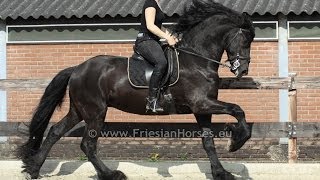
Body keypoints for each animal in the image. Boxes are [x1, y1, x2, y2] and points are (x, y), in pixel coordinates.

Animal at [18, 0, 255, 179]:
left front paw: (221, 172)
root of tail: (77, 68)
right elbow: (237, 109)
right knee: (88, 144)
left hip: (79, 110)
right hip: (95, 111)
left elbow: (208, 142)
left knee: (55, 132)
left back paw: (33, 169)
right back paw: (111, 174)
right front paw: (236, 141)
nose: (242, 70)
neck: (197, 60)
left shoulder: (202, 109)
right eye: (245, 39)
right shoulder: (202, 103)